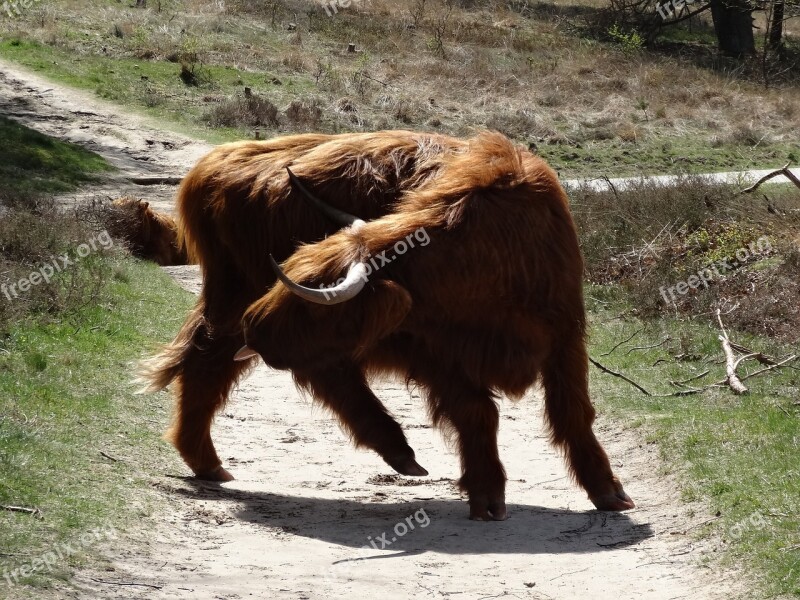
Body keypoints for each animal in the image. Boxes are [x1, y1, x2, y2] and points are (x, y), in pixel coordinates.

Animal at [141, 127, 636, 520]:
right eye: (287, 270)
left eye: (309, 302)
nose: (256, 327)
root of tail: (218, 163)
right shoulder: (438, 355)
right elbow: (478, 413)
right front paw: (488, 496)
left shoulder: (565, 339)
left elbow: (574, 414)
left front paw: (609, 493)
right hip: (237, 302)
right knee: (245, 367)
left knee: (218, 362)